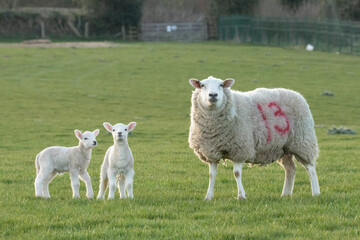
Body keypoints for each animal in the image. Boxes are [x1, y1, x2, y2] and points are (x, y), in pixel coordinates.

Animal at [188, 76, 320, 200]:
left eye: (221, 85)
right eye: (202, 85)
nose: (213, 95)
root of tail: (296, 94)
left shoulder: (240, 149)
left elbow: (236, 173)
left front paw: (241, 196)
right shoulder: (211, 153)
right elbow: (212, 175)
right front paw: (208, 197)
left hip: (303, 141)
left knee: (310, 168)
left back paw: (316, 192)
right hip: (284, 147)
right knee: (290, 168)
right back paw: (285, 194)